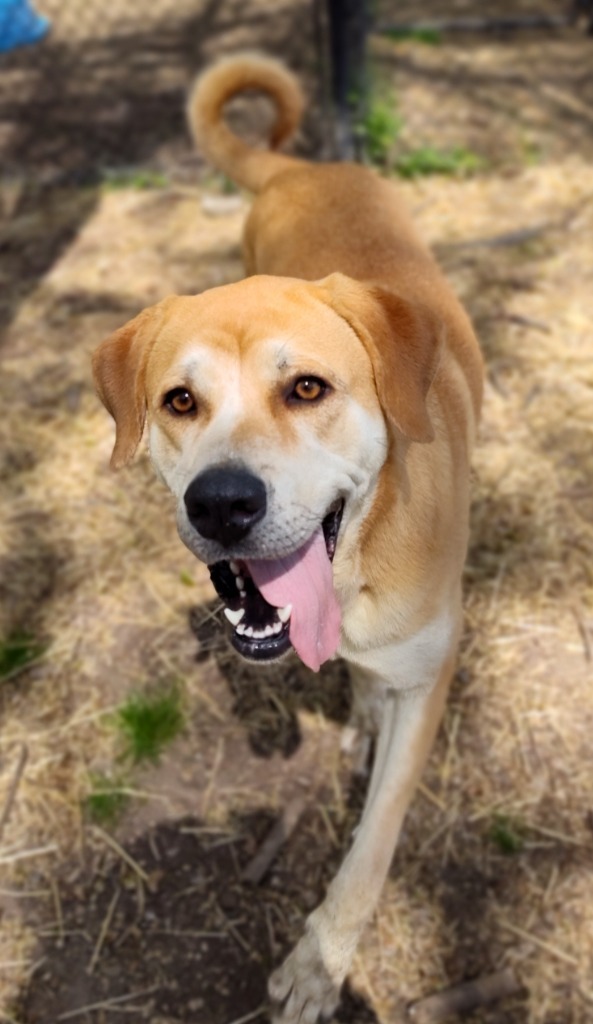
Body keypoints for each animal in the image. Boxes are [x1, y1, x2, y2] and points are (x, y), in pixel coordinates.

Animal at [91, 54, 483, 1024]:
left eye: (307, 388)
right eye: (179, 401)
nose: (220, 504)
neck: (354, 571)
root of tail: (300, 167)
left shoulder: (427, 677)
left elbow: (370, 846)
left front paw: (319, 962)